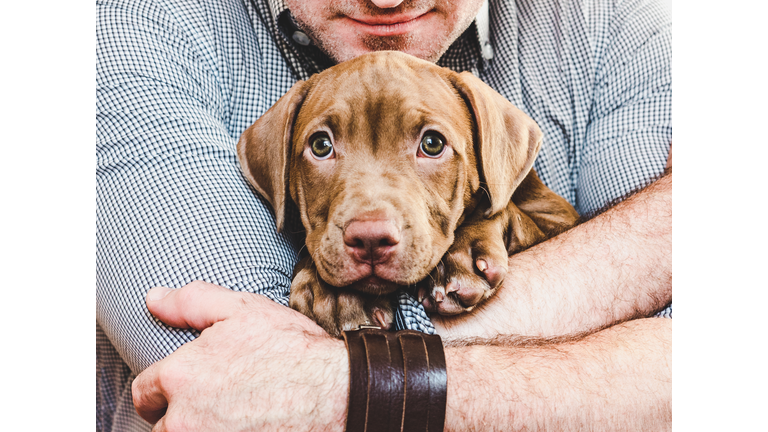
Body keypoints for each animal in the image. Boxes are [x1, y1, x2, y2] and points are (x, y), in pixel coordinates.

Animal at [237, 51, 580, 338]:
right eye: (321, 146)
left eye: (432, 144)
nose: (371, 239)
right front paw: (334, 292)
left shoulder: (557, 215)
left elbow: (505, 210)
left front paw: (462, 255)